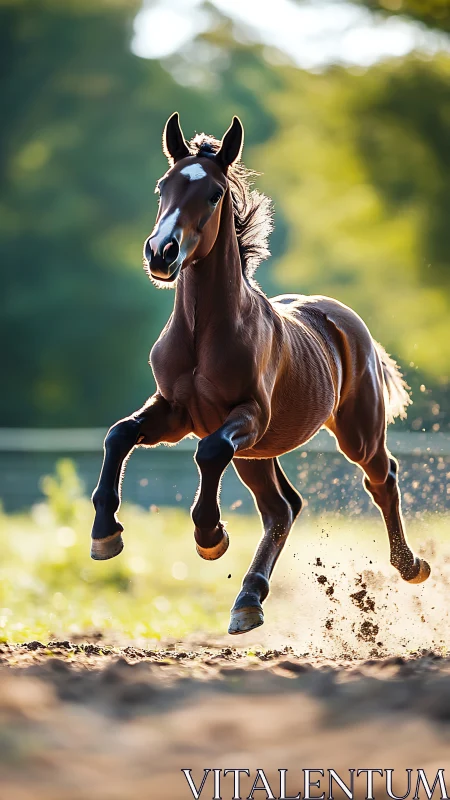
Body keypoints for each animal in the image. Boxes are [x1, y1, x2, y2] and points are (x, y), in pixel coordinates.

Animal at [91, 112, 431, 635]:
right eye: (163, 186)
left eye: (214, 194)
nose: (161, 253)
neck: (203, 334)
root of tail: (343, 318)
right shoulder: (174, 413)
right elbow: (120, 434)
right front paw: (105, 534)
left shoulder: (247, 416)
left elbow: (209, 452)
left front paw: (210, 536)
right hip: (257, 454)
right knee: (282, 508)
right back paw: (248, 600)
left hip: (353, 434)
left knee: (382, 478)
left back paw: (410, 565)